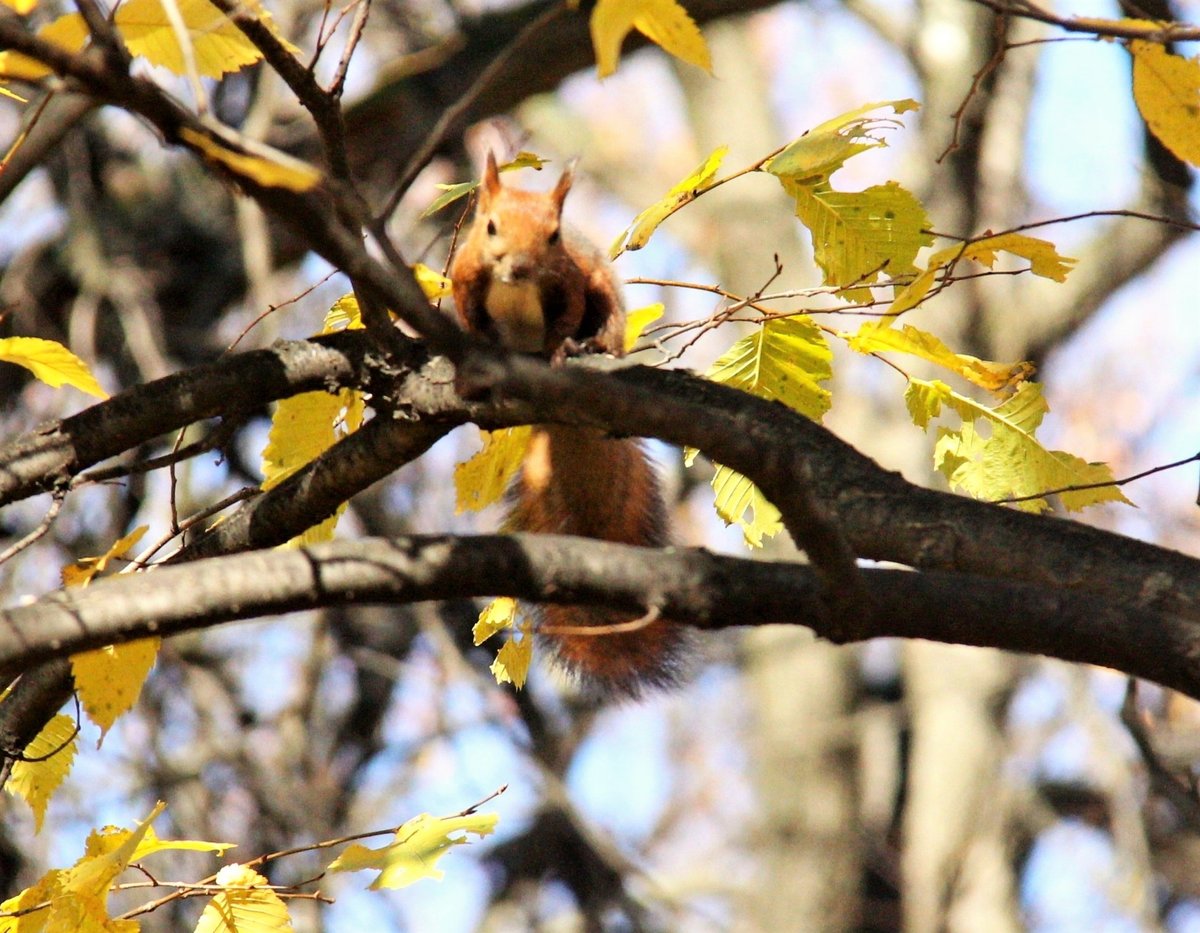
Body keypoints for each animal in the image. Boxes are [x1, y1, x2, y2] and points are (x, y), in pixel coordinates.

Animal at [449, 153, 685, 695]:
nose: (518, 265)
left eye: (554, 236)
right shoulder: (465, 275)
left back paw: (594, 345)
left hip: (603, 291)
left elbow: (567, 318)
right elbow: (469, 317)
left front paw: (562, 349)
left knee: (605, 320)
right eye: (489, 226)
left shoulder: (570, 281)